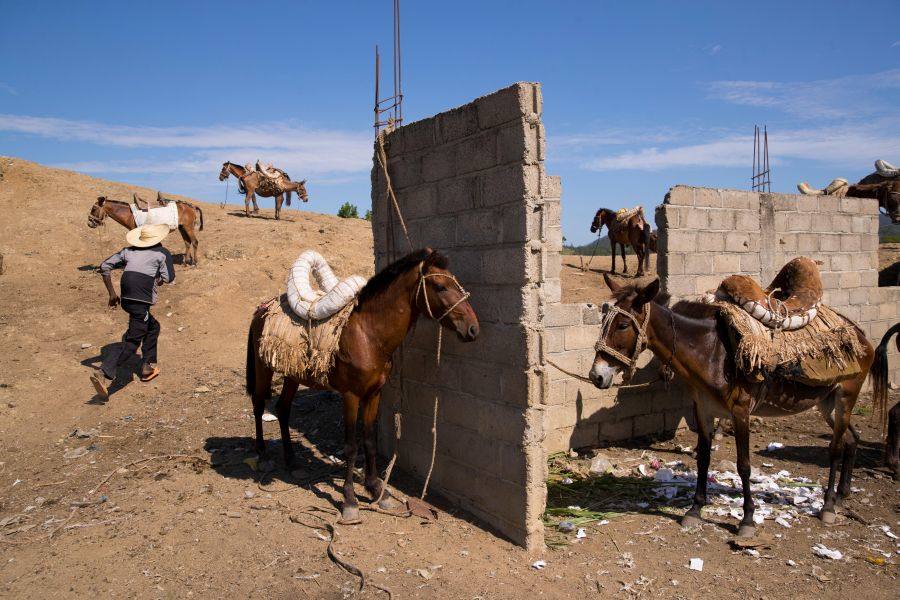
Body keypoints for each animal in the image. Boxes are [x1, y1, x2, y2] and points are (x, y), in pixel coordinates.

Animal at [243, 251, 482, 524]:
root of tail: (262, 308)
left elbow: (369, 441)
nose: (473, 329)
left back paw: (292, 462)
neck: (368, 334)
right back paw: (262, 455)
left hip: (293, 376)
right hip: (263, 368)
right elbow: (350, 447)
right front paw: (349, 500)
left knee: (283, 409)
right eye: (441, 286)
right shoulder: (351, 396)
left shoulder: (374, 394)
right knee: (259, 404)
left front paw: (377, 489)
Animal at [588, 274, 876, 536]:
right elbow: (703, 458)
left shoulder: (740, 413)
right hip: (826, 402)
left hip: (845, 397)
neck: (713, 352)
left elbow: (744, 465)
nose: (596, 376)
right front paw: (695, 509)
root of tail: (860, 333)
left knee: (835, 448)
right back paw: (842, 495)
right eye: (603, 322)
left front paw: (747, 519)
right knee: (851, 438)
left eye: (623, 324)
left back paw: (828, 506)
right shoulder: (703, 410)